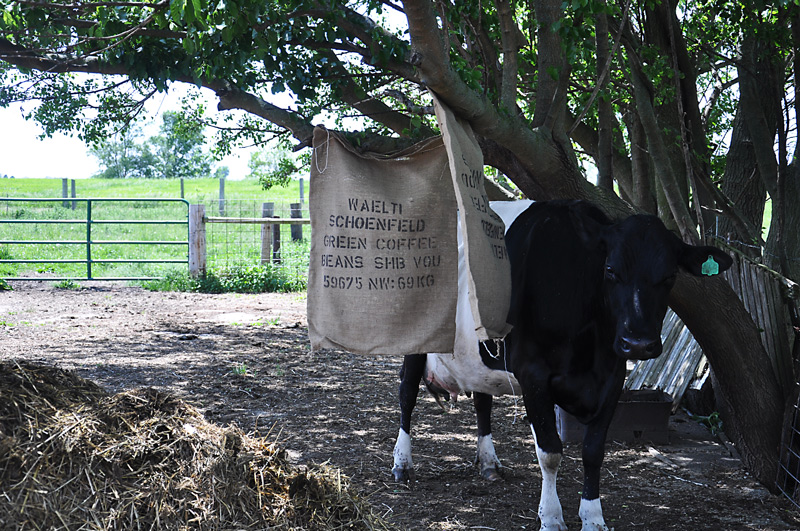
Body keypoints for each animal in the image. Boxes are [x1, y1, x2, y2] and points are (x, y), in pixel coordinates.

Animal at [392, 199, 732, 531]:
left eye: (670, 276)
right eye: (610, 270)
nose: (637, 344)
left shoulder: (613, 376)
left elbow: (593, 451)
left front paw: (594, 518)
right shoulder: (533, 374)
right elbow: (550, 452)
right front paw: (552, 517)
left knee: (482, 400)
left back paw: (488, 463)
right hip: (414, 335)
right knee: (407, 393)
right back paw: (402, 464)